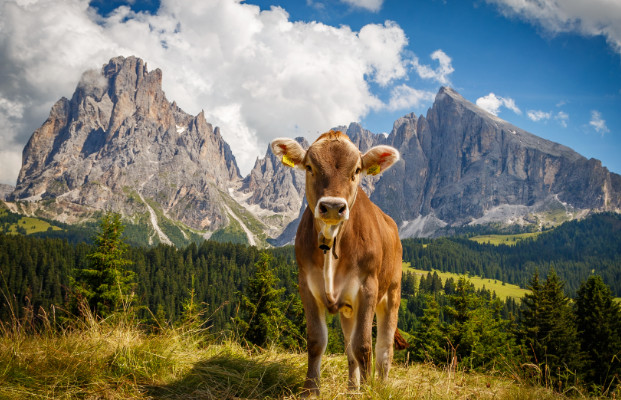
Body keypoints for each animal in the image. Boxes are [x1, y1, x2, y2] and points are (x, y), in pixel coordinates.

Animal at [272, 130, 402, 394]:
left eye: (357, 170)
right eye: (309, 167)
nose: (332, 206)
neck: (333, 239)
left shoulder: (368, 287)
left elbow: (364, 345)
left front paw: (368, 392)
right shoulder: (306, 286)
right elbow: (317, 341)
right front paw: (310, 390)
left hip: (392, 292)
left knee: (384, 348)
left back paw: (380, 385)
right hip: (347, 309)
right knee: (349, 349)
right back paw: (352, 388)